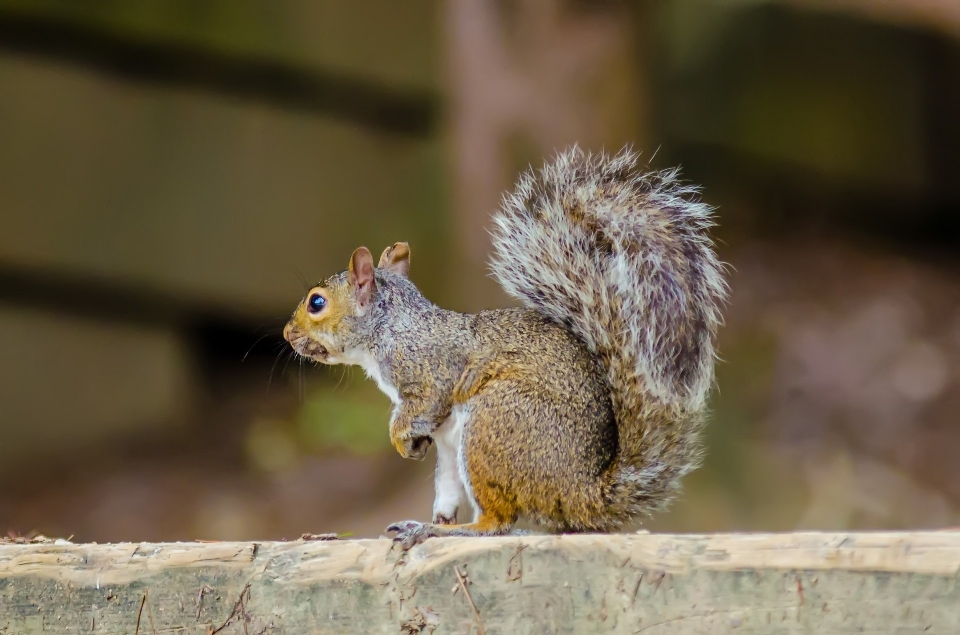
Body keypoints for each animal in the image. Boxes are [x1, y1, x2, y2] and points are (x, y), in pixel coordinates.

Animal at [284, 145, 728, 548]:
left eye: (317, 303)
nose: (288, 334)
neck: (390, 327)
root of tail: (582, 494)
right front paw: (413, 445)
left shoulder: (430, 371)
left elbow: (422, 404)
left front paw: (399, 439)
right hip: (456, 453)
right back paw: (428, 525)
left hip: (493, 422)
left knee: (497, 522)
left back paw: (450, 530)